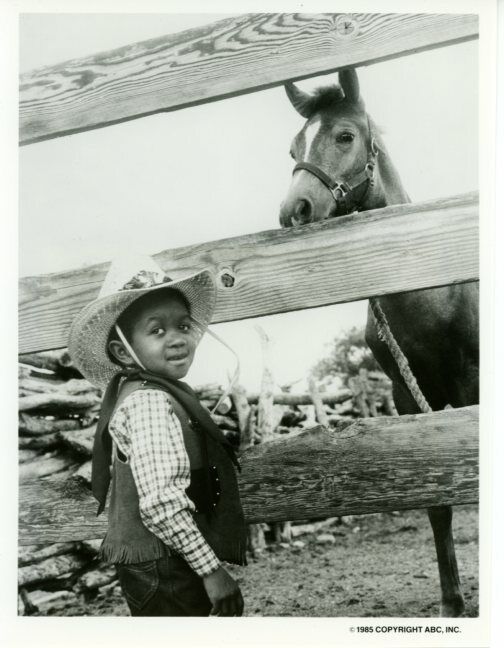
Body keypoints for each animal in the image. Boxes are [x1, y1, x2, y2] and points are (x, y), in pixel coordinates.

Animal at [278, 67, 478, 616]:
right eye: (293, 146)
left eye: (345, 136)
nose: (293, 210)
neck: (432, 294)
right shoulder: (408, 399)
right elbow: (436, 505)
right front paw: (453, 603)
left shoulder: (470, 388)